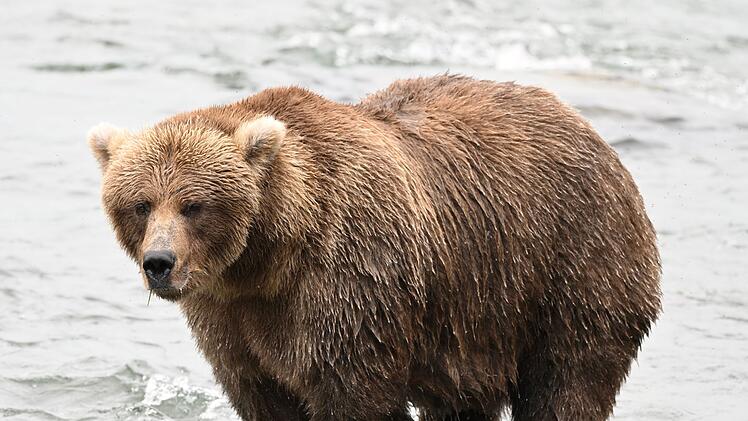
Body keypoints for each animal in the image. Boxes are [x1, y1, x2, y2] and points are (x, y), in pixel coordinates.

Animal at [88, 75, 661, 421]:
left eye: (193, 204)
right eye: (141, 203)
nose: (160, 263)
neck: (269, 258)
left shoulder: (350, 283)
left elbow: (353, 390)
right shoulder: (232, 317)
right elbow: (263, 390)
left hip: (571, 268)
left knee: (567, 382)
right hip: (477, 316)